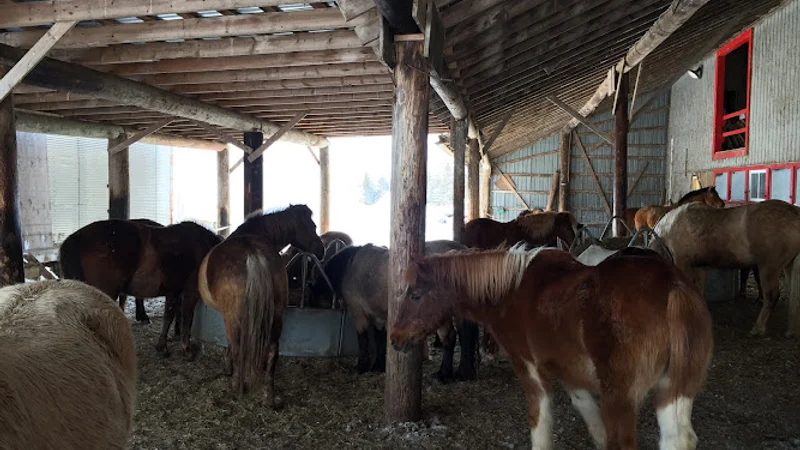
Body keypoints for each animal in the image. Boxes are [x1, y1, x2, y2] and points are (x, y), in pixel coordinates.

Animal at [59, 218, 223, 354]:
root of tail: (75, 240)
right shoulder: (190, 291)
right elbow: (187, 318)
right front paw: (186, 349)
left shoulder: (173, 291)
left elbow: (169, 316)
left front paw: (162, 345)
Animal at [191, 205, 324, 405]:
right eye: (313, 226)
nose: (321, 250)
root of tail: (252, 252)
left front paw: (229, 369)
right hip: (276, 315)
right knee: (272, 350)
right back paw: (268, 395)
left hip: (233, 318)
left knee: (238, 348)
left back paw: (237, 388)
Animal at [310, 240, 479, 382]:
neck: (349, 266)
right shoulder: (379, 316)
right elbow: (379, 338)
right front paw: (378, 366)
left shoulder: (359, 313)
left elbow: (363, 339)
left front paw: (361, 366)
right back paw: (457, 373)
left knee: (450, 338)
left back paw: (445, 374)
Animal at [390, 246, 713, 450]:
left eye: (415, 295)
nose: (395, 339)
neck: (509, 290)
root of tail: (672, 287)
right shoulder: (570, 372)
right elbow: (589, 417)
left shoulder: (529, 368)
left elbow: (541, 424)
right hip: (673, 391)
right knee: (678, 440)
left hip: (620, 396)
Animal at [653, 200, 800, 337]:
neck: (671, 226)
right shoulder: (698, 266)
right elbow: (698, 288)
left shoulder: (682, 262)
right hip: (788, 266)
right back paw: (791, 331)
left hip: (769, 268)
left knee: (771, 296)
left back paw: (757, 328)